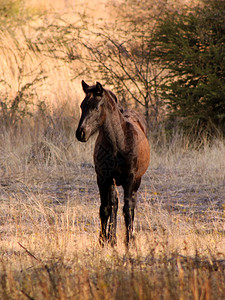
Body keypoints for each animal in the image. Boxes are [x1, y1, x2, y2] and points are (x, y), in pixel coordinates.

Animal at [75, 80, 149, 246]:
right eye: (82, 106)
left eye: (96, 107)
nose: (80, 133)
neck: (119, 143)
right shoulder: (104, 178)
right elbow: (106, 208)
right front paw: (105, 240)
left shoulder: (130, 178)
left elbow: (127, 209)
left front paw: (128, 241)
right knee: (114, 204)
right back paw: (112, 238)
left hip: (137, 181)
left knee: (132, 204)